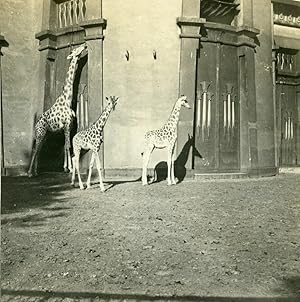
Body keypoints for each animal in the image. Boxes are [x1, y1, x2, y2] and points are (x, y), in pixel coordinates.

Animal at [27, 43, 86, 178]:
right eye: (75, 49)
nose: (85, 45)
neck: (67, 99)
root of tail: (35, 125)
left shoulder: (68, 126)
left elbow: (66, 145)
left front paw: (66, 167)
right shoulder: (66, 125)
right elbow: (68, 146)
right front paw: (69, 168)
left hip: (45, 135)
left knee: (38, 150)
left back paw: (36, 171)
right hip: (40, 133)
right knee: (34, 149)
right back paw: (29, 172)